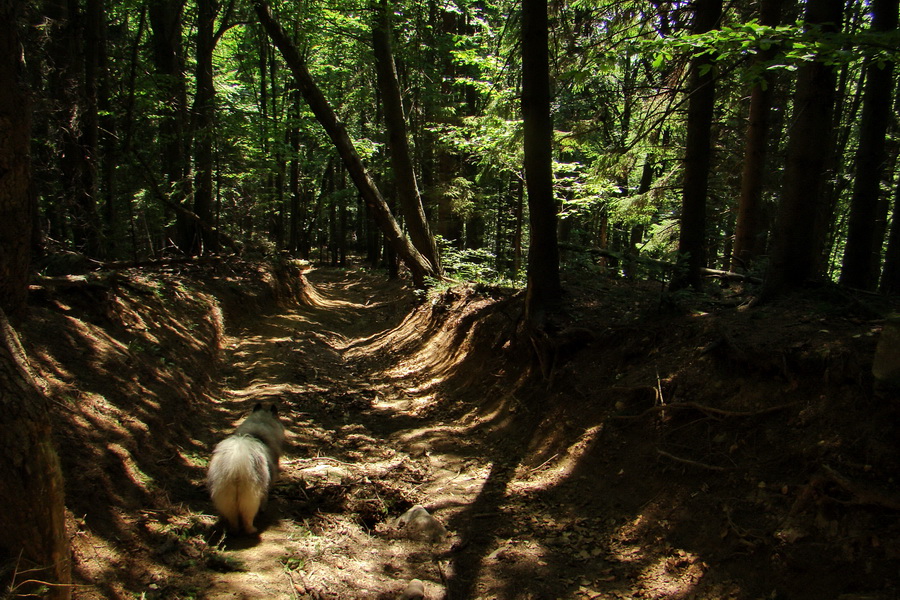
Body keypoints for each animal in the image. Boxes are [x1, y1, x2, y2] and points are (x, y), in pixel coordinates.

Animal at [207, 404, 284, 536]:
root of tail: (236, 466)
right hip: (251, 496)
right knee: (248, 518)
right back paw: (252, 530)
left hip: (227, 495)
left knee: (232, 517)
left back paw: (233, 530)